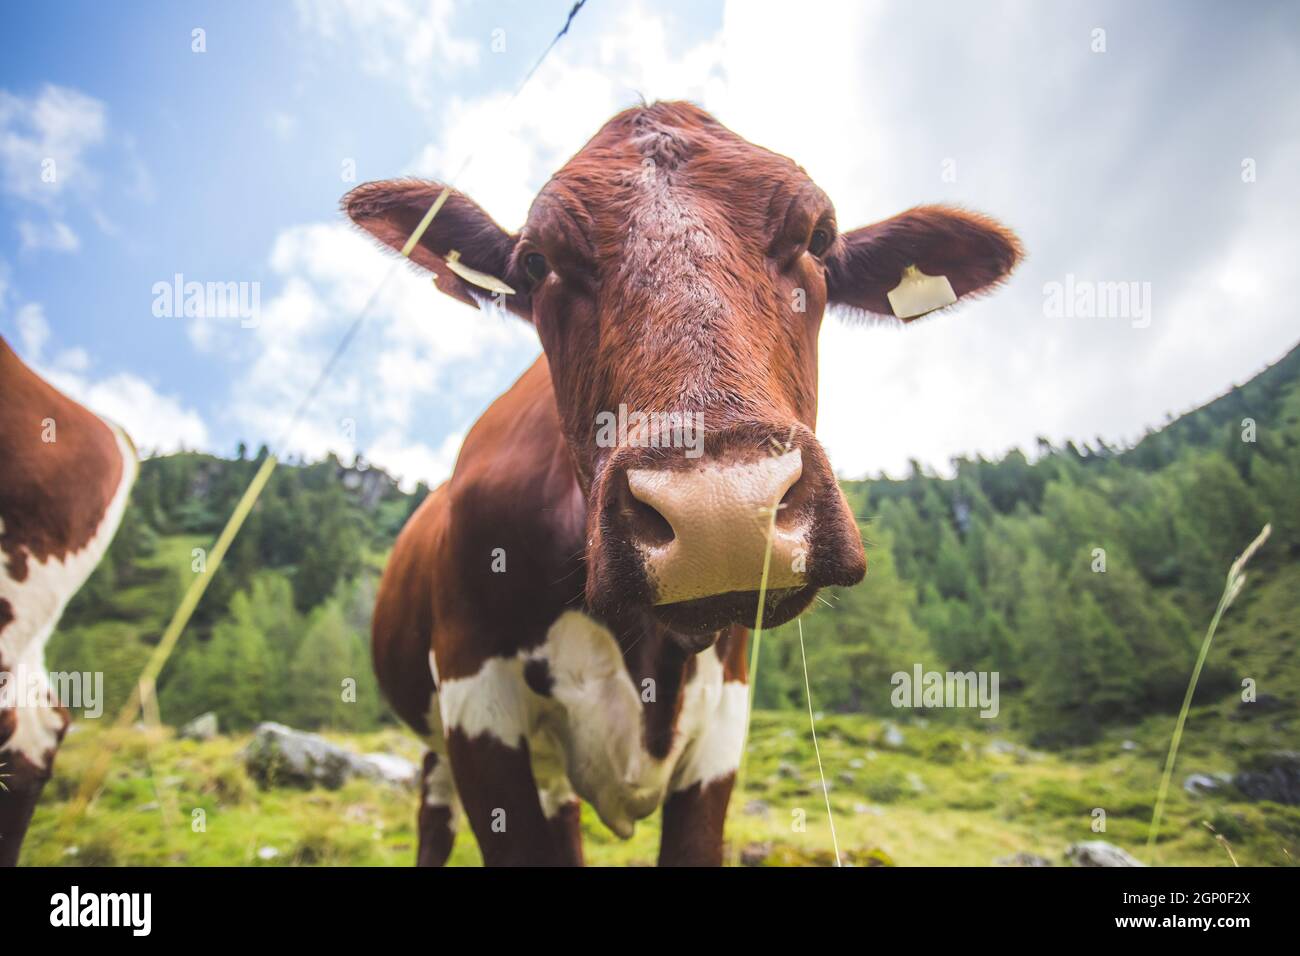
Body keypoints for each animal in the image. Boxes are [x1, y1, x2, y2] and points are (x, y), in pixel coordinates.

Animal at [350, 101, 1021, 866]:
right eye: (537, 262)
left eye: (818, 237)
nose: (720, 512)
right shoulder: (478, 709)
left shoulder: (722, 729)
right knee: (435, 816)